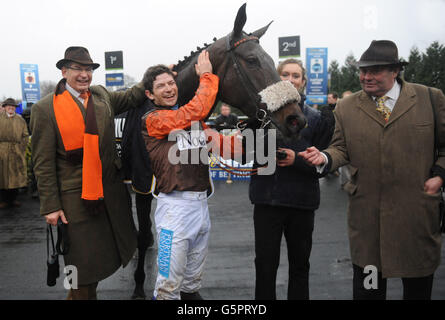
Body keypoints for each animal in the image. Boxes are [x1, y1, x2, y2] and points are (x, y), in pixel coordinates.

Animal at [130, 2, 306, 298]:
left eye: (273, 61)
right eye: (252, 60)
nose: (296, 119)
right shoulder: (142, 187)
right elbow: (141, 236)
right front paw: (137, 284)